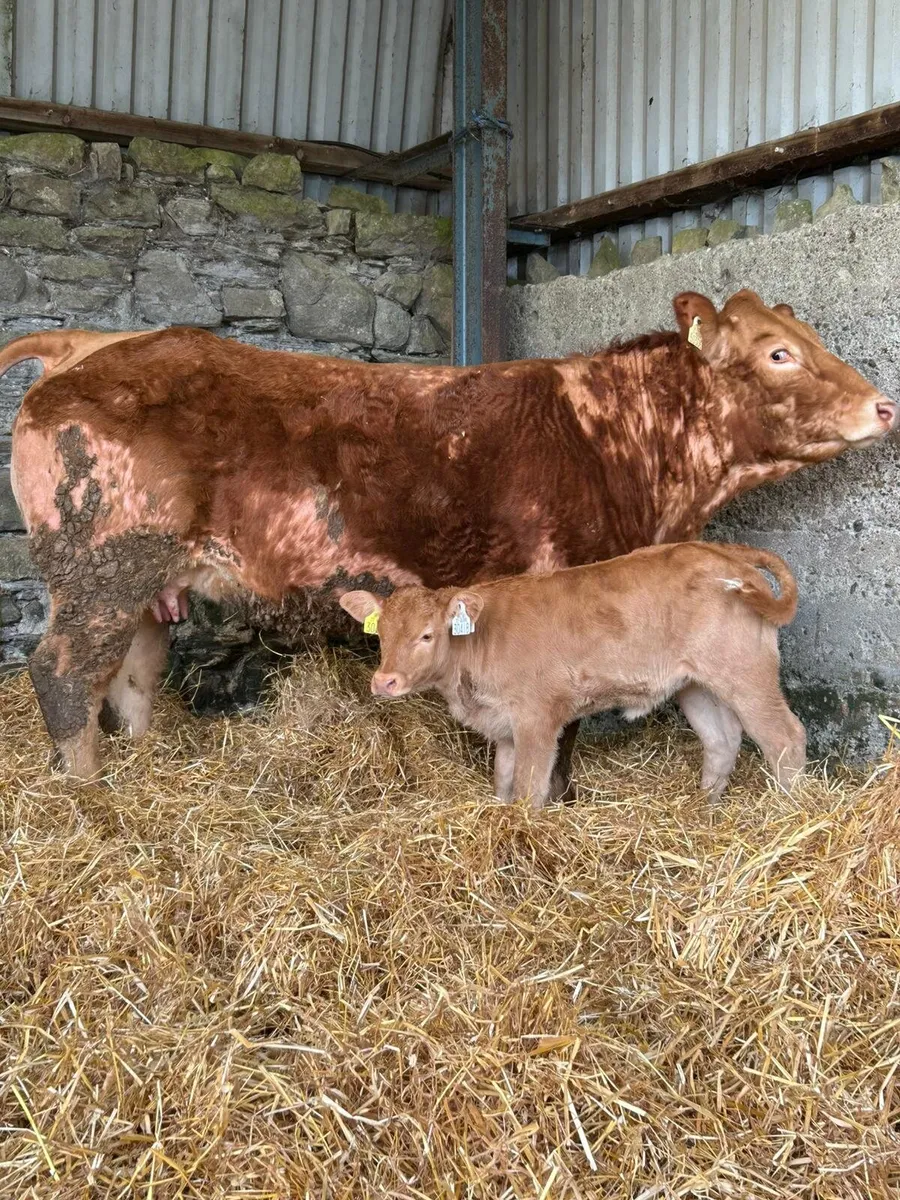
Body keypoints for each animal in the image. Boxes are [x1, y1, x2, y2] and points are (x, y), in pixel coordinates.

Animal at [338, 542, 806, 805]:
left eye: (427, 635)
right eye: (381, 635)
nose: (384, 681)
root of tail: (722, 551)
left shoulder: (537, 717)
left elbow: (529, 790)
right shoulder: (505, 726)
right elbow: (503, 783)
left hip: (745, 671)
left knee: (785, 737)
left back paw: (787, 812)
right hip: (696, 683)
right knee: (722, 740)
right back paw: (705, 809)